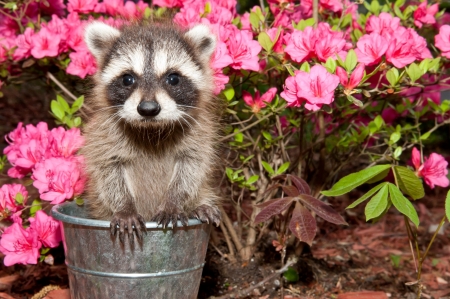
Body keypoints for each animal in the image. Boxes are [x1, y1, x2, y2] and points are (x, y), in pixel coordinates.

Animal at [81, 21, 222, 243]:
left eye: (173, 79)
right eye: (127, 79)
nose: (148, 109)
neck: (151, 128)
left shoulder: (198, 132)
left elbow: (191, 167)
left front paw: (174, 201)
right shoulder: (103, 133)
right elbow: (108, 170)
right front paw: (124, 206)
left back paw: (199, 206)